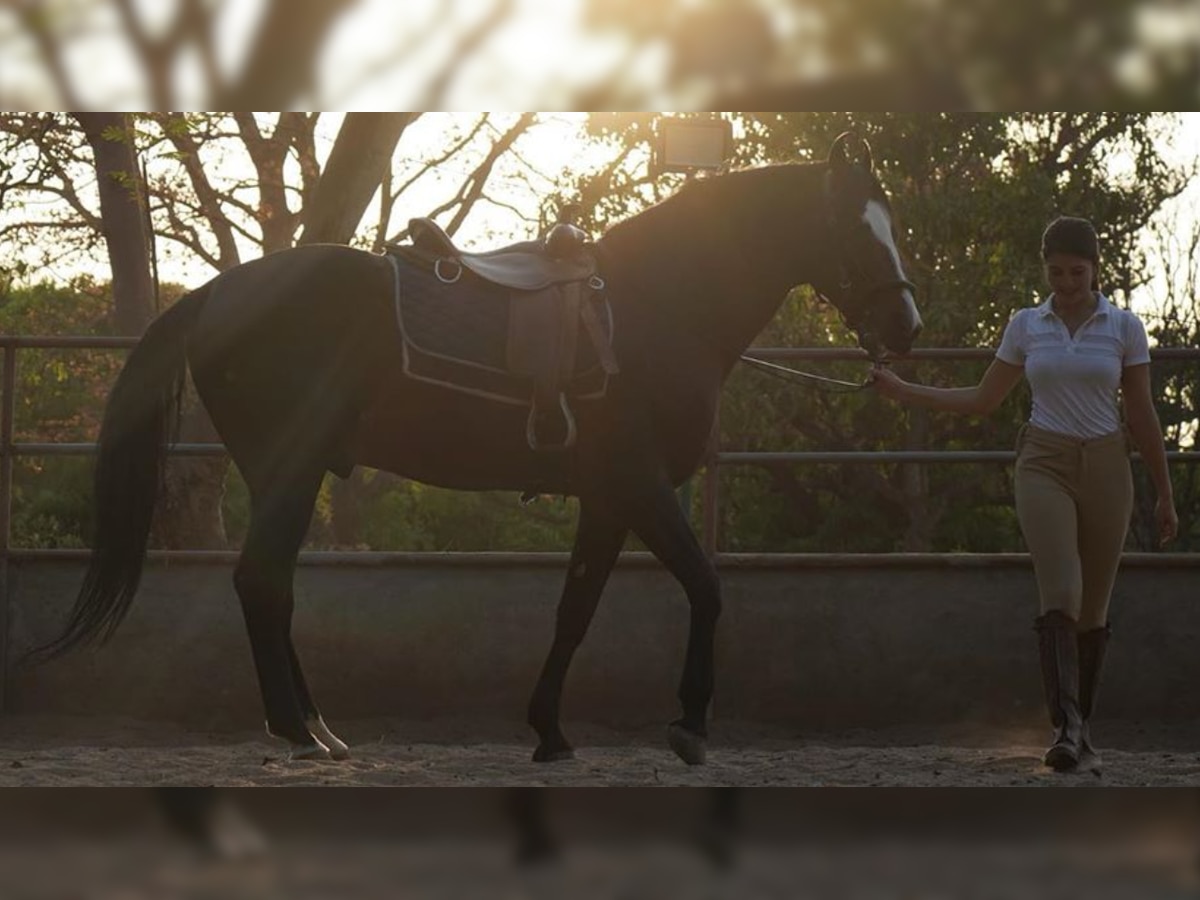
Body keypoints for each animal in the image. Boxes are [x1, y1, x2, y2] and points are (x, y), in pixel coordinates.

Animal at [35, 133, 916, 768]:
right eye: (855, 228)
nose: (905, 328)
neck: (657, 306)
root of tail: (219, 292)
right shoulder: (641, 488)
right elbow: (706, 587)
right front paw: (690, 724)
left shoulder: (607, 500)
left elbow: (574, 612)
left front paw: (550, 732)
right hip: (290, 470)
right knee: (263, 583)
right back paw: (295, 732)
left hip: (284, 471)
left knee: (271, 584)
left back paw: (318, 729)